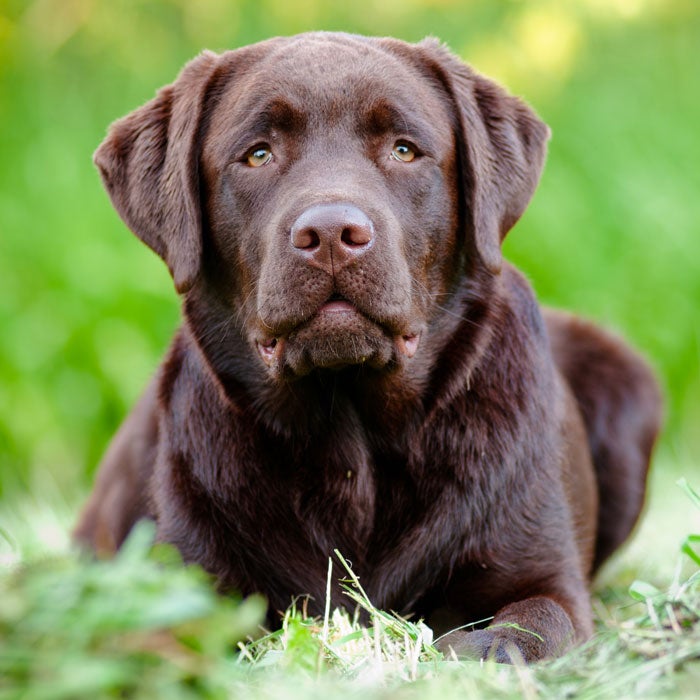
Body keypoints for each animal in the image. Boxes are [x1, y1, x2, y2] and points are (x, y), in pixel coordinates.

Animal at [76, 32, 660, 664]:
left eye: (404, 150)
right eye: (257, 154)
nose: (332, 233)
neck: (352, 437)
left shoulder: (546, 577)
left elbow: (532, 625)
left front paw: (479, 650)